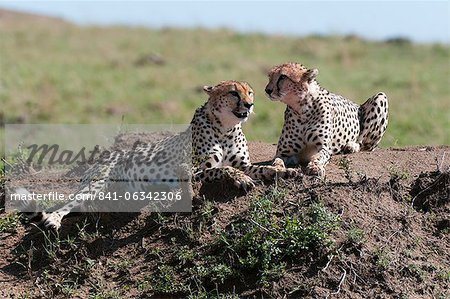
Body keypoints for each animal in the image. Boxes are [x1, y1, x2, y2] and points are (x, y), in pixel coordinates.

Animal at [20, 79, 296, 230]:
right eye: (233, 93)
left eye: (250, 92)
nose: (250, 105)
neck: (226, 128)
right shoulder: (195, 169)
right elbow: (224, 168)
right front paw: (241, 179)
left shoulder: (245, 163)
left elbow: (261, 167)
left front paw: (285, 170)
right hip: (95, 184)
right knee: (68, 205)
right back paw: (53, 219)